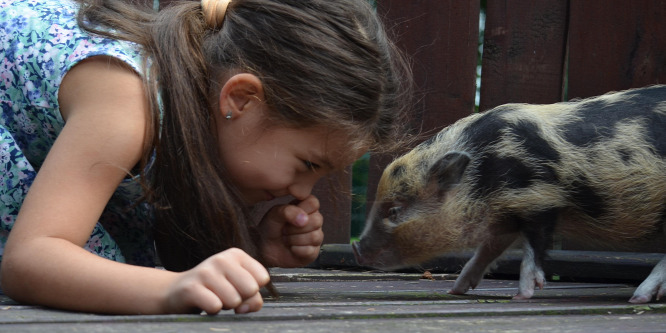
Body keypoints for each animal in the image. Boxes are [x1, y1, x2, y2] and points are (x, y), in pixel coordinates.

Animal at [352, 84, 666, 302]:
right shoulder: (505, 216)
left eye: (395, 210)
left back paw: (638, 298)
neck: (485, 172)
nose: (356, 248)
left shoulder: (541, 197)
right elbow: (487, 250)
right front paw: (456, 290)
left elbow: (533, 248)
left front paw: (522, 295)